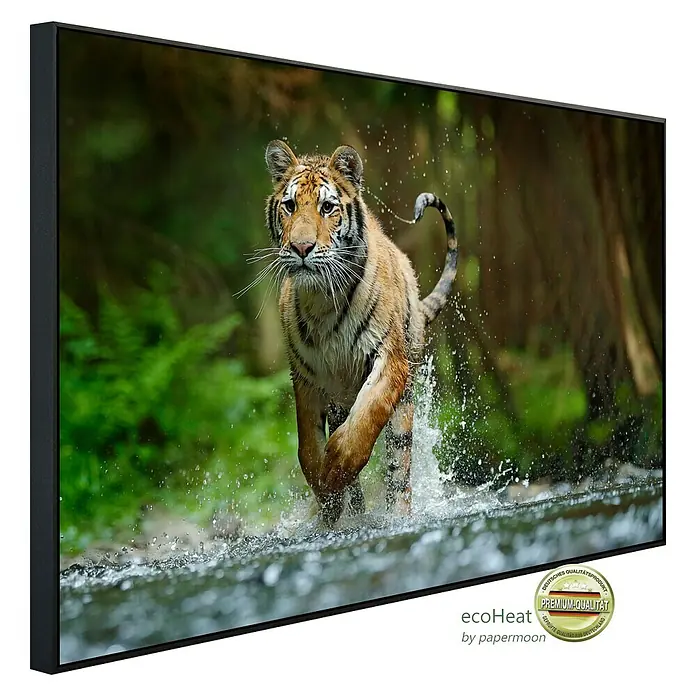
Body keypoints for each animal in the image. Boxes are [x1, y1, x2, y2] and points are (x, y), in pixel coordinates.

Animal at [263, 139, 458, 525]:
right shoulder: (305, 376)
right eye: (290, 206)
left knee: (399, 474)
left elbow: (363, 422)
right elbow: (308, 446)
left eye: (327, 207)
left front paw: (335, 468)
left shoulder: (389, 361)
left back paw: (396, 517)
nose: (302, 248)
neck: (322, 300)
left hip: (404, 409)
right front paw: (326, 493)